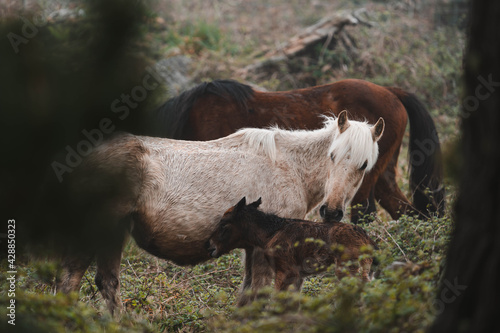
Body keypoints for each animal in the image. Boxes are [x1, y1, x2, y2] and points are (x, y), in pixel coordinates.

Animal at [59, 109, 386, 312]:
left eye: (364, 165)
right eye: (332, 155)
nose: (331, 212)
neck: (290, 166)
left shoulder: (254, 250)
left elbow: (247, 295)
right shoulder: (265, 253)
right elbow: (259, 295)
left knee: (107, 283)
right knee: (70, 282)